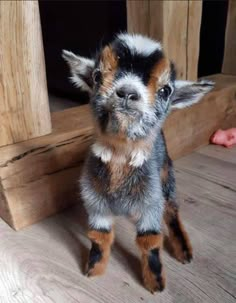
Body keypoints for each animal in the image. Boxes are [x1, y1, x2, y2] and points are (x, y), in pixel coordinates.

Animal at [62, 33, 214, 294]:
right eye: (97, 76)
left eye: (165, 90)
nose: (127, 93)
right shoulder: (95, 202)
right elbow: (99, 236)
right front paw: (94, 270)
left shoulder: (150, 203)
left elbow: (150, 241)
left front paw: (156, 283)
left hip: (166, 175)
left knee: (172, 209)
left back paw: (183, 250)